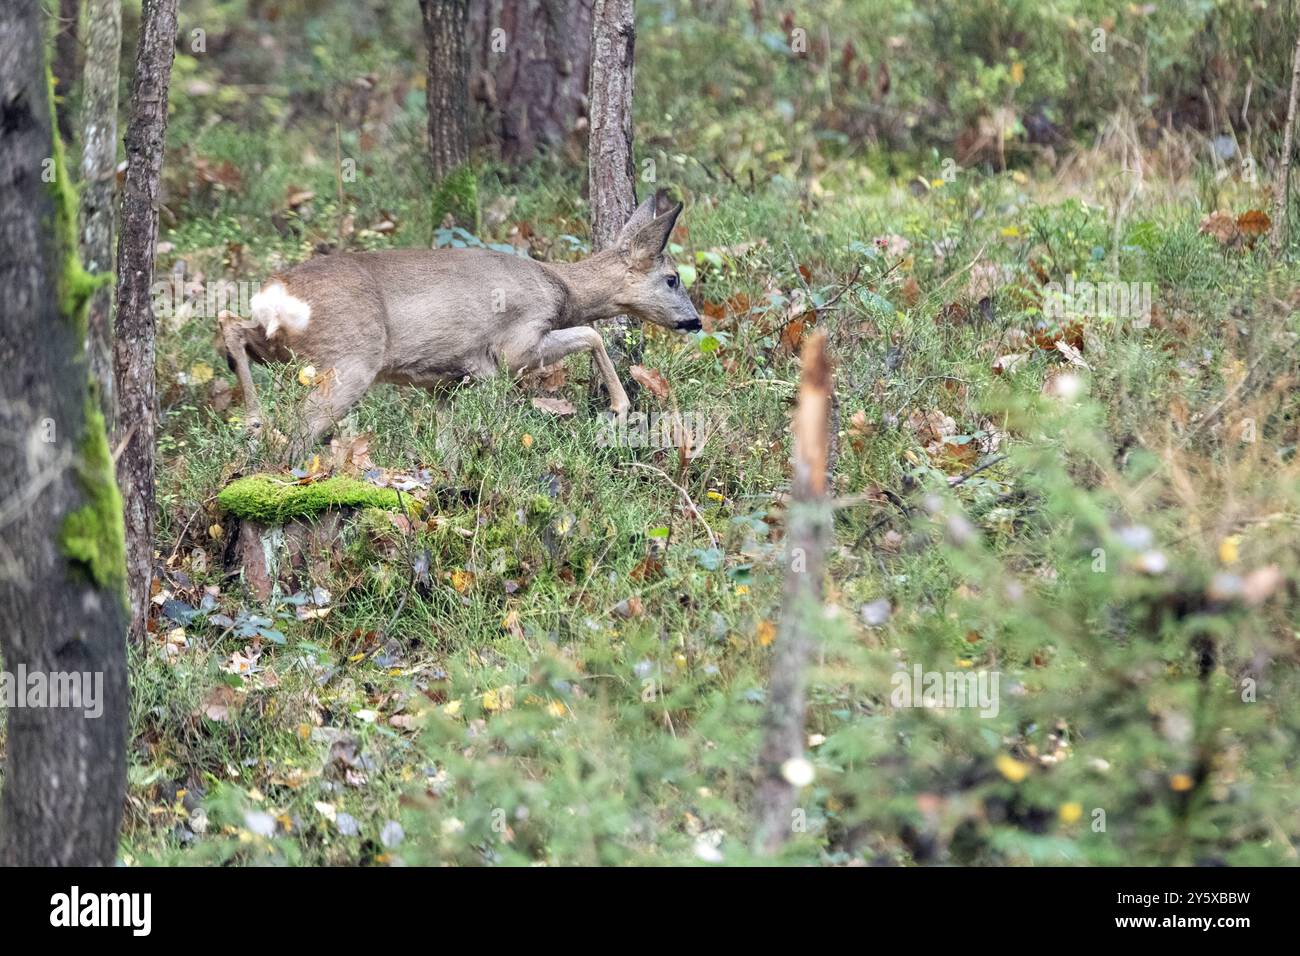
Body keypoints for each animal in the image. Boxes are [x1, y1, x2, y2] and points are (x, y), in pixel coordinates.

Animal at [218, 195, 701, 456]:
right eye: (672, 278)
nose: (695, 321)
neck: (562, 289)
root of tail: (275, 293)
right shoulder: (515, 345)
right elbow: (592, 333)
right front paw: (620, 409)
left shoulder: (446, 382)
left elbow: (446, 440)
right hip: (348, 360)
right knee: (298, 434)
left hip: (281, 348)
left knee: (230, 323)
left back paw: (253, 423)